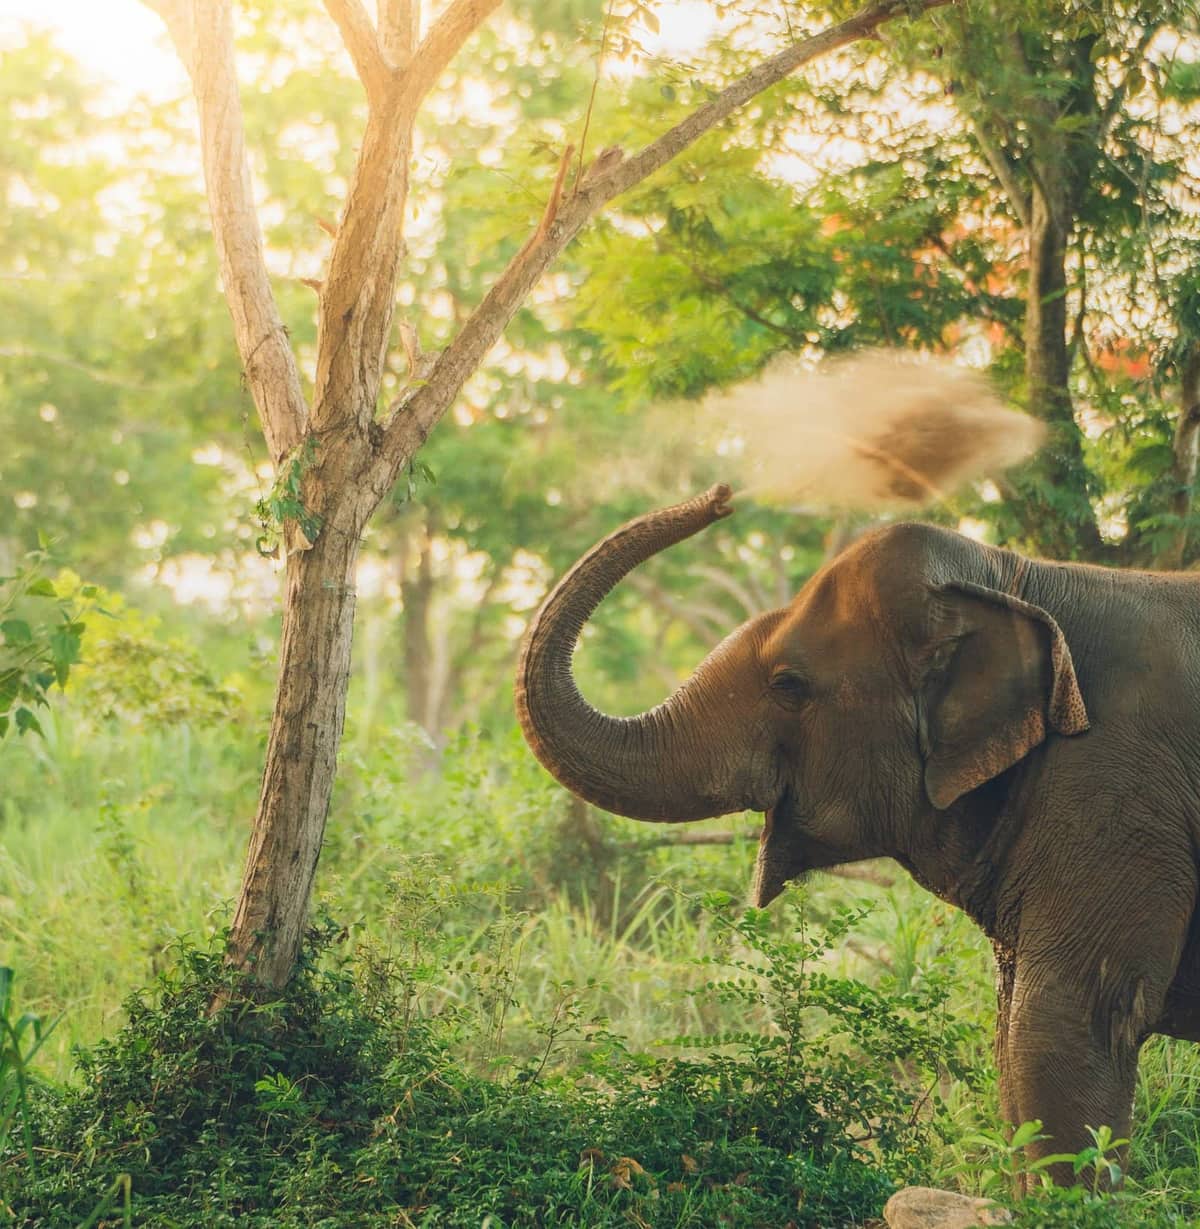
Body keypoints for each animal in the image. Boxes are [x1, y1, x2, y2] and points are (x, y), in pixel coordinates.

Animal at [515, 483, 1200, 1186]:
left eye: (788, 684)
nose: (723, 496)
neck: (1015, 576)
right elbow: (1011, 1029)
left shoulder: (1119, 789)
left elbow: (1059, 1024)